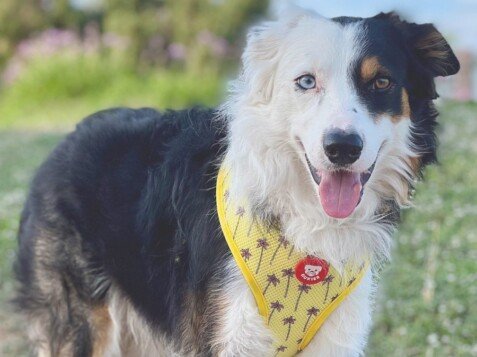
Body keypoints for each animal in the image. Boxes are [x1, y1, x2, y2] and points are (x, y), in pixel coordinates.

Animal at [13, 8, 458, 356]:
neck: (304, 222)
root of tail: (65, 140)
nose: (342, 148)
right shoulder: (223, 333)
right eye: (306, 81)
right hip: (76, 318)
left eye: (381, 82)